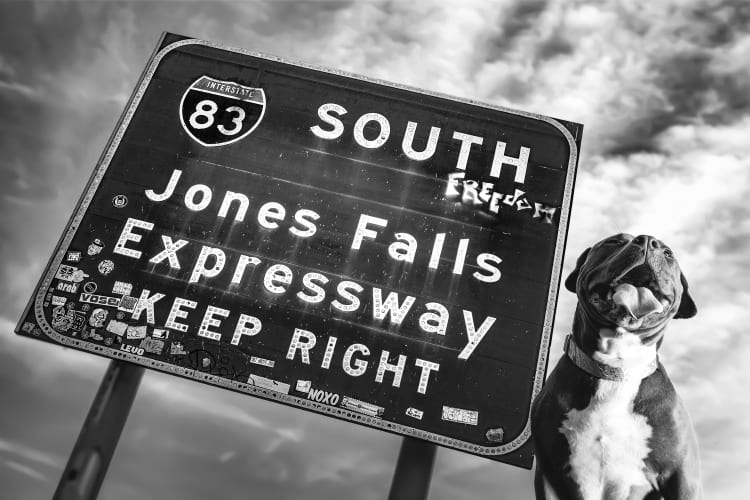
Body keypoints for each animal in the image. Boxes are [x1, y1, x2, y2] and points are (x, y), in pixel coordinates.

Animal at [532, 234, 704, 500]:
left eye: (668, 253)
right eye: (614, 242)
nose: (648, 241)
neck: (616, 368)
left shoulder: (683, 476)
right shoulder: (549, 475)